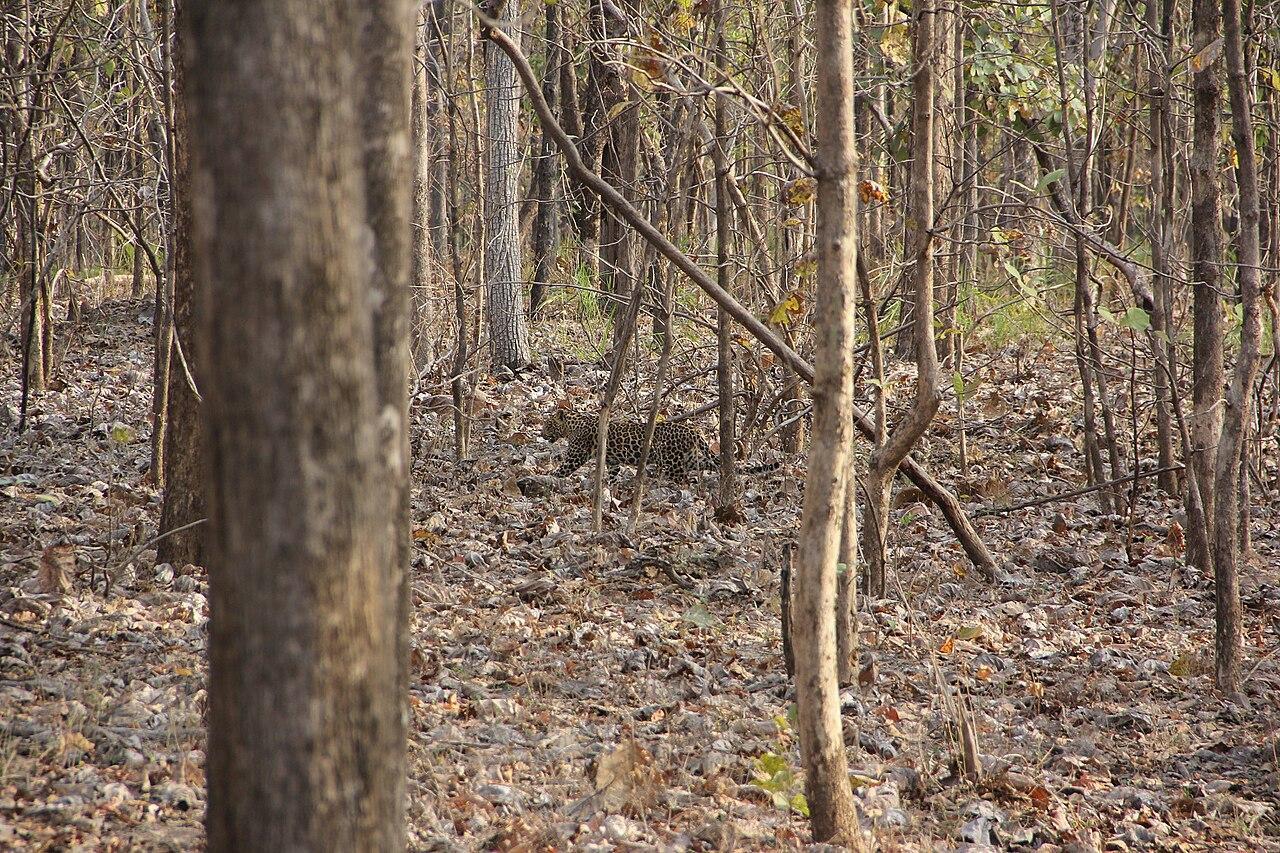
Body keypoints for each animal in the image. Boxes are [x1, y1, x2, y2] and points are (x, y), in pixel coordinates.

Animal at [542, 408, 780, 480]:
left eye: (548, 424)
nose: (541, 433)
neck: (573, 424)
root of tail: (693, 431)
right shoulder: (612, 459)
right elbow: (613, 471)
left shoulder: (576, 455)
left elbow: (563, 469)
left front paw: (548, 477)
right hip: (691, 459)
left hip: (673, 462)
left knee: (683, 480)